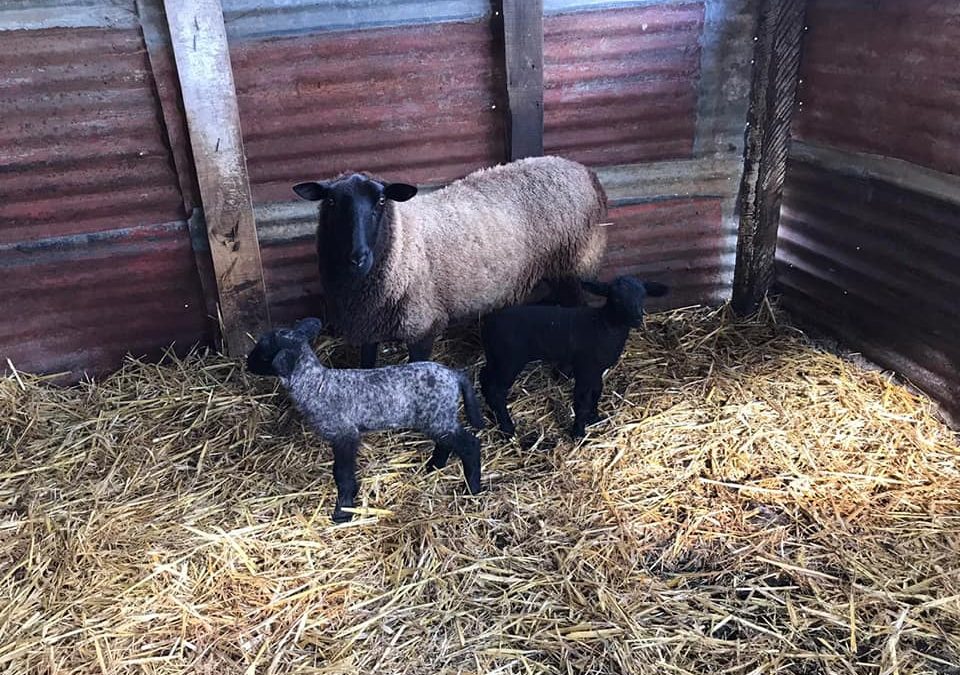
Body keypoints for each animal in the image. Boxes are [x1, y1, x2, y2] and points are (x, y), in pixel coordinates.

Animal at [248, 318, 488, 524]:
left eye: (264, 353)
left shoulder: (345, 434)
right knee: (447, 442)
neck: (317, 385)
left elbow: (342, 475)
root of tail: (455, 375)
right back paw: (434, 466)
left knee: (470, 444)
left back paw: (472, 487)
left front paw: (343, 511)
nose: (247, 364)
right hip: (439, 418)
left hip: (438, 416)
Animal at [290, 155, 608, 368]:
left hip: (575, 262)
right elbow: (366, 366)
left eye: (381, 201)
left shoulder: (422, 325)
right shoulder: (367, 325)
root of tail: (585, 171)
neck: (402, 241)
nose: (357, 257)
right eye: (331, 202)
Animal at [478, 274, 668, 438]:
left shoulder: (596, 369)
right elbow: (582, 401)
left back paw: (492, 414)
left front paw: (594, 418)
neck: (604, 324)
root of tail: (488, 323)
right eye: (616, 298)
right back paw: (507, 429)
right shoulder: (585, 368)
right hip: (509, 360)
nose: (637, 319)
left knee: (484, 378)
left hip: (495, 357)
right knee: (496, 390)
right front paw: (578, 433)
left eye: (643, 296)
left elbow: (596, 392)